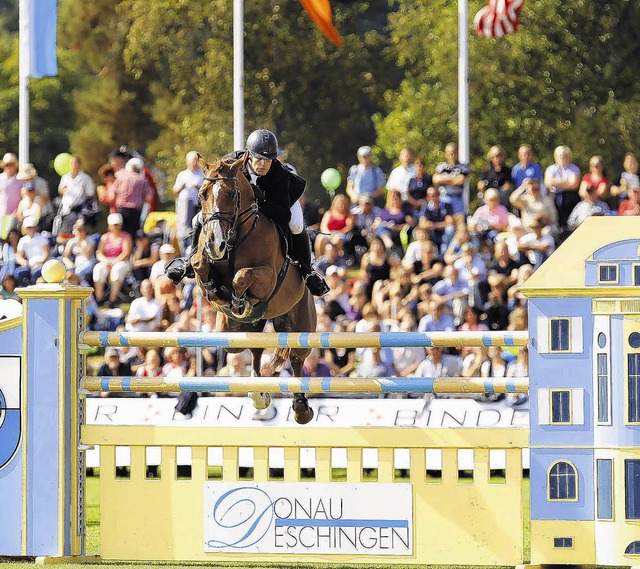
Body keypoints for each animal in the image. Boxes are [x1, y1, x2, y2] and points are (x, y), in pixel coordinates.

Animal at [191, 154, 318, 422]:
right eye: (202, 194)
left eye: (231, 195)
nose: (215, 245)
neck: (235, 237)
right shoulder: (203, 263)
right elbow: (199, 263)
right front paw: (217, 290)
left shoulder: (267, 276)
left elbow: (243, 275)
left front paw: (240, 300)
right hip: (235, 332)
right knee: (255, 349)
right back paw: (259, 395)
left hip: (302, 322)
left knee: (296, 358)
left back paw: (301, 409)